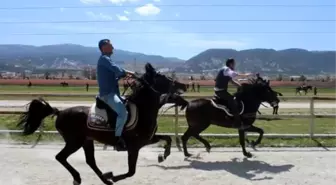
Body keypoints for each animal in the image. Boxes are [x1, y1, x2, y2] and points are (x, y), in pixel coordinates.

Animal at [17, 62, 186, 184]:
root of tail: (60, 112)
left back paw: (103, 179)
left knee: (90, 161)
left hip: (86, 141)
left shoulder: (147, 139)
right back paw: (81, 178)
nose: (183, 85)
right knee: (61, 157)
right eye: (163, 77)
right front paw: (113, 176)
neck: (143, 109)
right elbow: (131, 172)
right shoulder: (134, 147)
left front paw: (163, 156)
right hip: (74, 141)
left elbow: (168, 138)